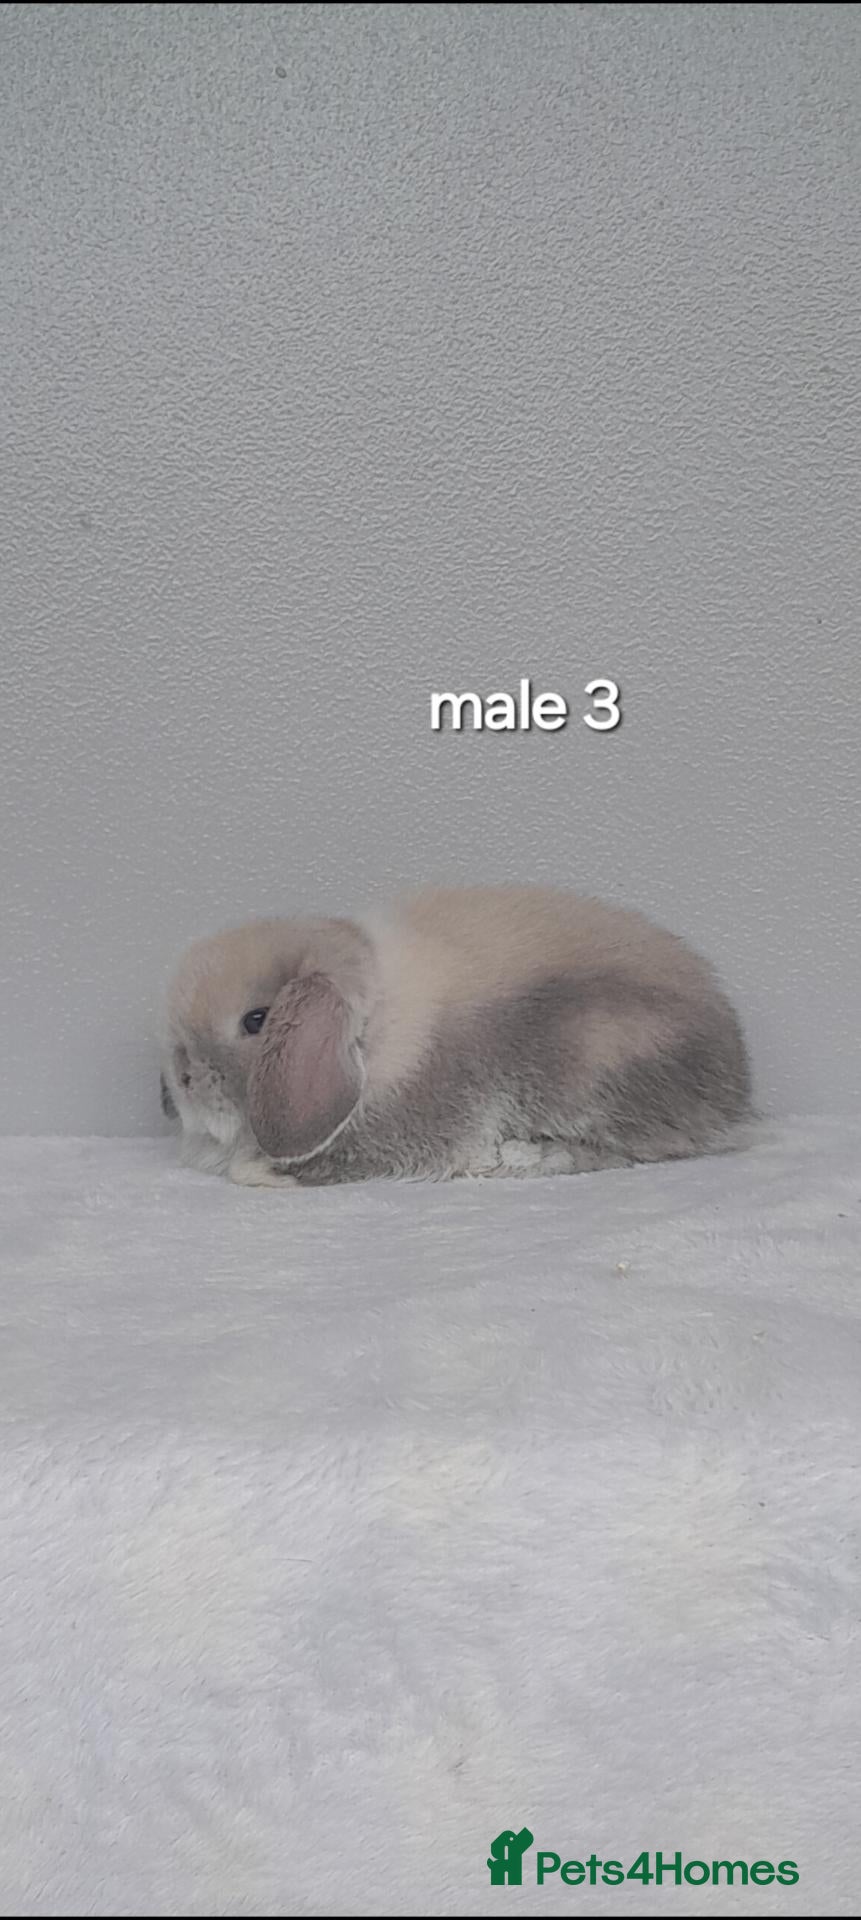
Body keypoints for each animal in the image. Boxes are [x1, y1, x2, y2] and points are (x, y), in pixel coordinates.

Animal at [159, 884, 753, 1189]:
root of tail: (736, 1094)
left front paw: (256, 1170)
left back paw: (517, 1158)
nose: (181, 1081)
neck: (374, 1030)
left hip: (597, 1056)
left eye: (256, 1020)